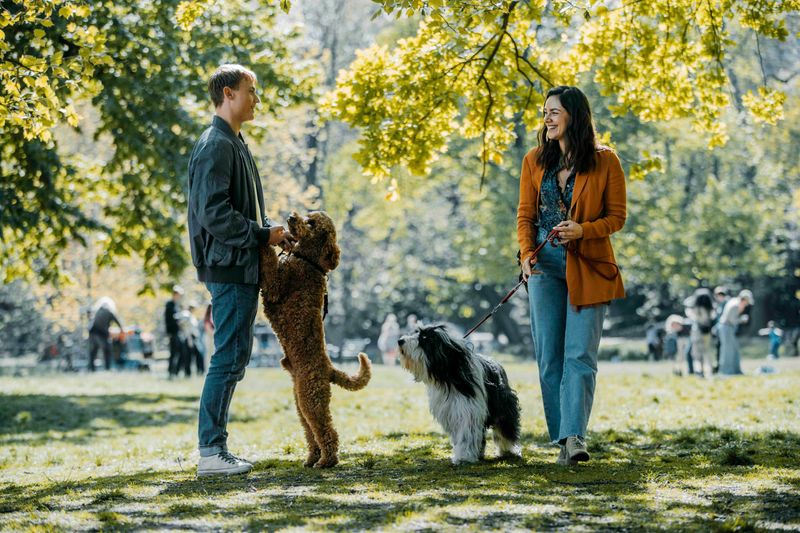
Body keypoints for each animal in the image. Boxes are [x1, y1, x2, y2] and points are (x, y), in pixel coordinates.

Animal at [260, 210, 372, 468]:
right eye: (307, 215)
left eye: (311, 223)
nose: (291, 217)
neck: (306, 261)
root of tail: (329, 369)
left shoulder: (276, 286)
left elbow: (269, 262)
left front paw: (268, 238)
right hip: (299, 402)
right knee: (311, 433)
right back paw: (312, 458)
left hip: (311, 399)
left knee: (326, 430)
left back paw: (327, 460)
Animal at [396, 322, 520, 464]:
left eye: (425, 338)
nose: (400, 341)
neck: (448, 374)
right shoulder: (452, 411)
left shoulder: (468, 410)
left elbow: (466, 434)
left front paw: (464, 456)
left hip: (504, 405)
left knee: (505, 427)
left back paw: (508, 449)